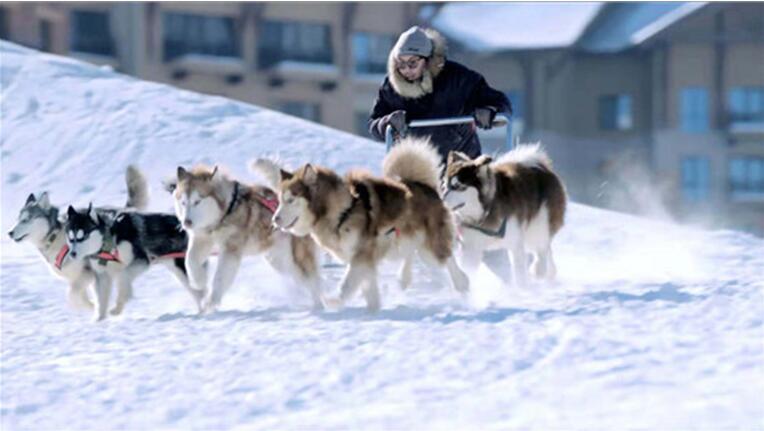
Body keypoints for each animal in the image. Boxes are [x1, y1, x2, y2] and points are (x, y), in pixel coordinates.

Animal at [6, 166, 148, 314]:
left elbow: (73, 295)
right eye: (18, 219)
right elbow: (79, 296)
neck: (56, 238)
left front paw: (93, 306)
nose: (10, 233)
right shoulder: (78, 278)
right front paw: (92, 306)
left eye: (25, 220)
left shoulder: (87, 273)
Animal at [65, 204, 197, 322]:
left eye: (83, 236)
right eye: (71, 238)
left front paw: (121, 302)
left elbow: (123, 277)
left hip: (184, 269)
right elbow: (101, 299)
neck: (110, 236)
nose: (72, 254)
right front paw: (100, 319)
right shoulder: (102, 275)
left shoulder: (140, 260)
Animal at [169, 166, 324, 314]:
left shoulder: (230, 250)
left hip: (296, 259)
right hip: (280, 262)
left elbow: (220, 278)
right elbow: (190, 260)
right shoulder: (202, 240)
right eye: (183, 202)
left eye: (197, 201)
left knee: (313, 281)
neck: (224, 214)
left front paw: (211, 302)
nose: (186, 222)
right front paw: (199, 281)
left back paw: (318, 306)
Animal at [256, 138, 468, 310]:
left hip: (430, 249)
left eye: (291, 200)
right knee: (410, 255)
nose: (275, 219)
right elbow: (368, 286)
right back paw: (404, 278)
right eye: (280, 200)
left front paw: (334, 301)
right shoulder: (365, 258)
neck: (342, 211)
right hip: (401, 244)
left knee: (448, 258)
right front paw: (373, 309)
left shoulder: (361, 255)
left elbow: (348, 284)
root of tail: (427, 187)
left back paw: (462, 283)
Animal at [442, 145, 568, 286]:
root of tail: (541, 167)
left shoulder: (516, 243)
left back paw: (540, 269)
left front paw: (522, 289)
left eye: (458, 186)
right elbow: (468, 270)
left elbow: (520, 274)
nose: (440, 200)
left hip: (538, 227)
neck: (485, 212)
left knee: (542, 248)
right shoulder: (471, 249)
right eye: (444, 185)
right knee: (546, 249)